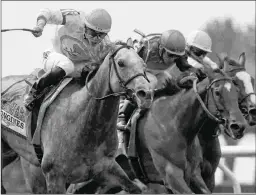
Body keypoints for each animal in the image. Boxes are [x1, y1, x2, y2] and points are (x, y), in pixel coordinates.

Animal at [1, 43, 154, 194]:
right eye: (121, 63)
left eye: (144, 65)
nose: (146, 94)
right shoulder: (54, 176)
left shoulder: (106, 168)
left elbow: (135, 188)